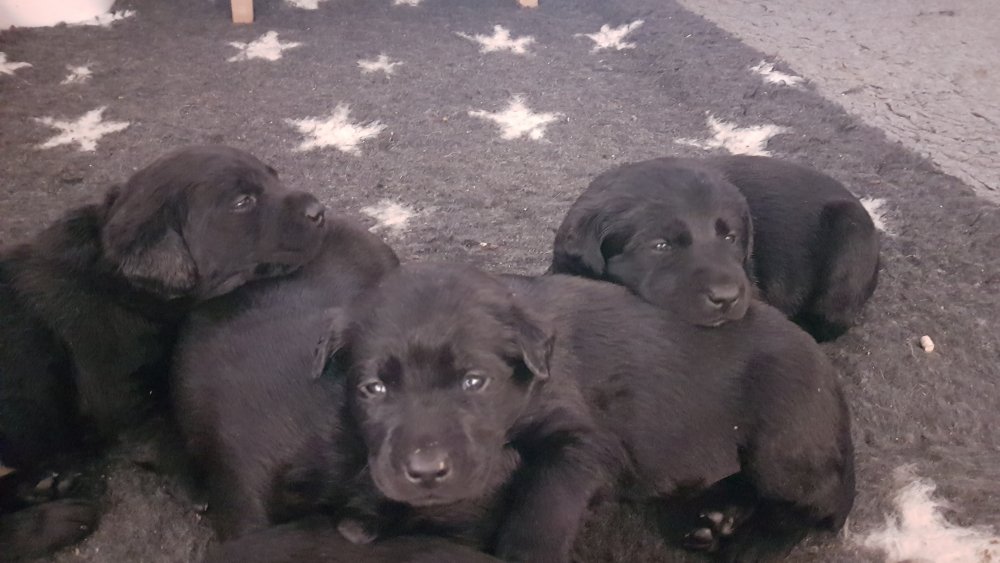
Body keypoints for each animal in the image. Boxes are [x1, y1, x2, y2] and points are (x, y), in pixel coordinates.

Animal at [0, 145, 327, 560]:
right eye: (243, 202)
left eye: (274, 176)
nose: (319, 210)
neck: (118, 278)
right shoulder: (118, 383)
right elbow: (158, 428)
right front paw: (199, 482)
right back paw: (62, 517)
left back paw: (44, 483)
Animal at [327, 263, 854, 562]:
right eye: (373, 389)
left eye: (474, 382)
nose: (425, 471)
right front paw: (367, 512)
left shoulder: (583, 440)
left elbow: (546, 502)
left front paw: (525, 552)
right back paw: (715, 516)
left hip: (782, 436)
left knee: (819, 505)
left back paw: (749, 545)